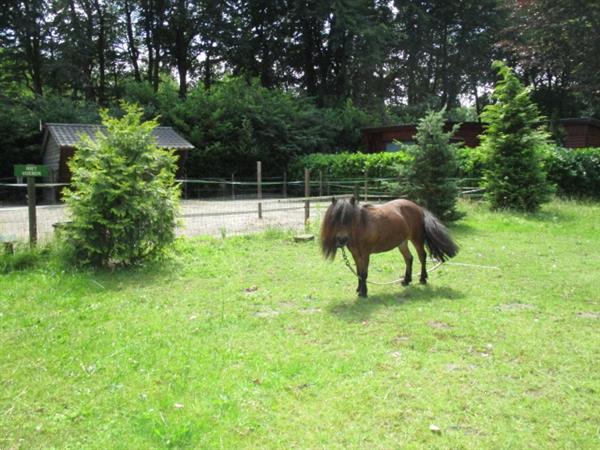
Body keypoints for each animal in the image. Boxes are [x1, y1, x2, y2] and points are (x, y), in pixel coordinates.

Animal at [322, 198, 458, 298]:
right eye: (333, 219)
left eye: (350, 219)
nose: (341, 240)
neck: (362, 227)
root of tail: (419, 208)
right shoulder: (356, 254)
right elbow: (359, 272)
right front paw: (358, 289)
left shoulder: (365, 254)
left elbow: (364, 273)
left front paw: (364, 293)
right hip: (402, 243)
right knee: (409, 258)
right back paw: (406, 280)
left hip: (416, 240)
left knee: (422, 257)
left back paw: (423, 279)